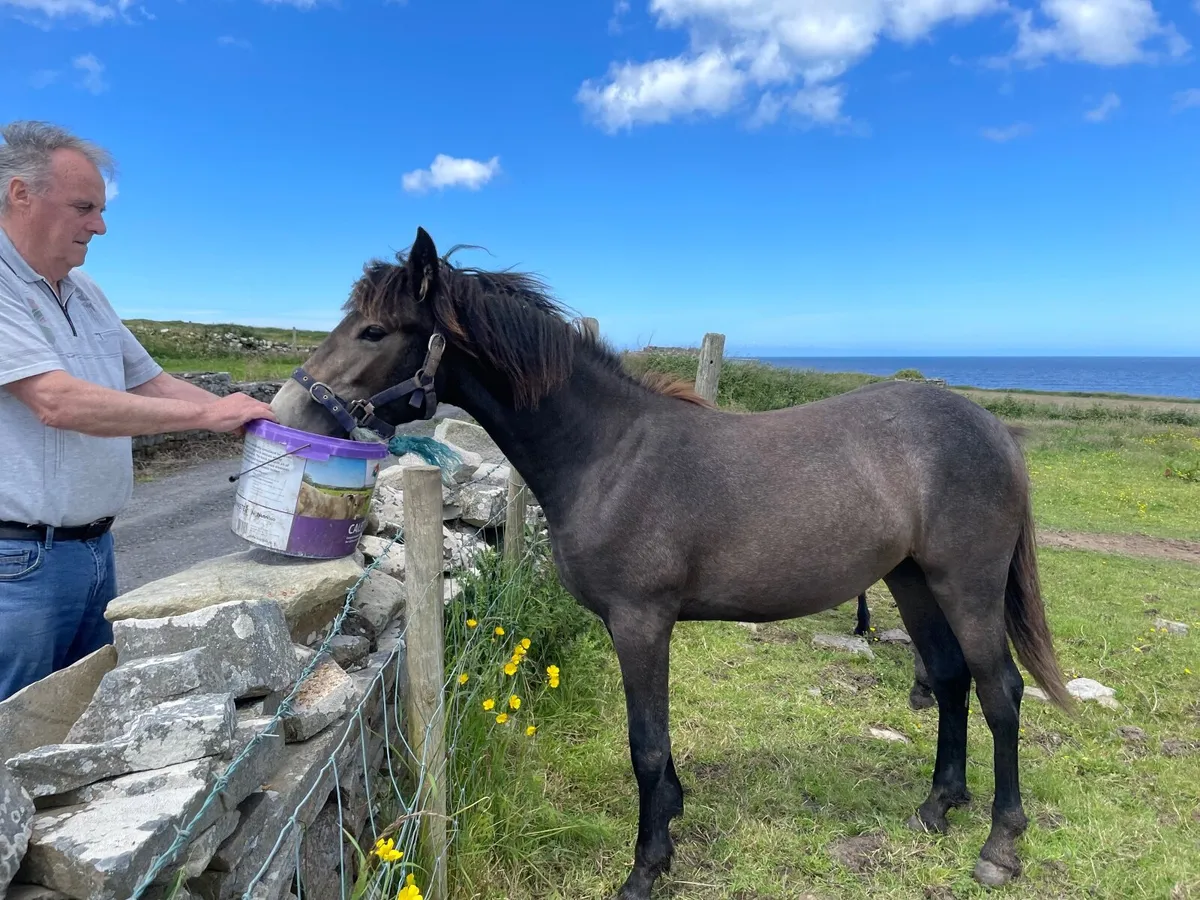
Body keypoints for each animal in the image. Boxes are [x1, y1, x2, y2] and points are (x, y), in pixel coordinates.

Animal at [270, 226, 1073, 899]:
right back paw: (938, 804)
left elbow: (646, 745)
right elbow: (656, 739)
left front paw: (647, 866)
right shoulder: (639, 627)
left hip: (966, 585)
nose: (287, 410)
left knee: (1001, 691)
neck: (608, 456)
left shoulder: (640, 621)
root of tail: (993, 429)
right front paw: (674, 816)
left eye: (375, 329)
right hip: (913, 580)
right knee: (950, 678)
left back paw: (1000, 844)